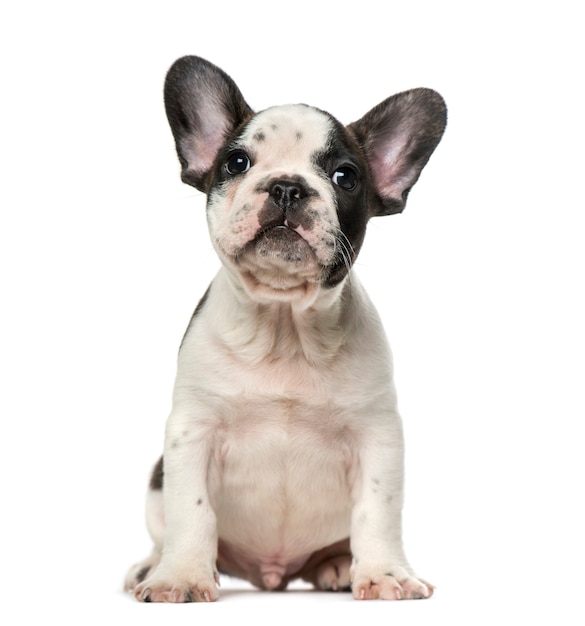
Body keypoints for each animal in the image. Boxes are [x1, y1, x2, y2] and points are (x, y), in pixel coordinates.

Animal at [124, 57, 442, 600]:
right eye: (236, 163)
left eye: (345, 176)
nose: (288, 186)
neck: (284, 325)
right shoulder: (191, 433)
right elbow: (193, 511)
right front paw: (181, 576)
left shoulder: (378, 437)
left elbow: (377, 511)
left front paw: (385, 573)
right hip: (155, 482)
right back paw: (152, 567)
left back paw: (337, 566)